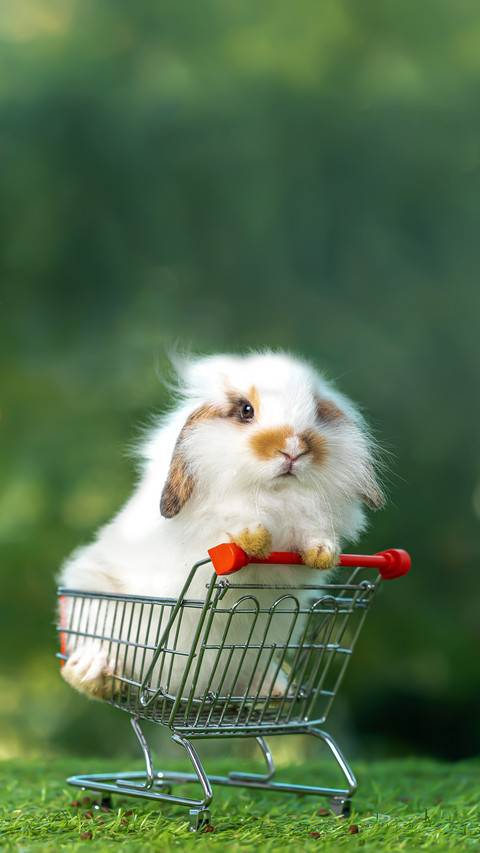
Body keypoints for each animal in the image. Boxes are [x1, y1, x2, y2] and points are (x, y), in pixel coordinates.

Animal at [58, 350, 385, 705]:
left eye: (316, 412)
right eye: (245, 410)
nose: (294, 449)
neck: (274, 493)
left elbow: (310, 541)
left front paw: (322, 553)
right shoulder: (202, 544)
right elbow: (226, 532)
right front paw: (253, 538)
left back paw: (272, 689)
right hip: (97, 602)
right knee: (100, 651)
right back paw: (95, 673)